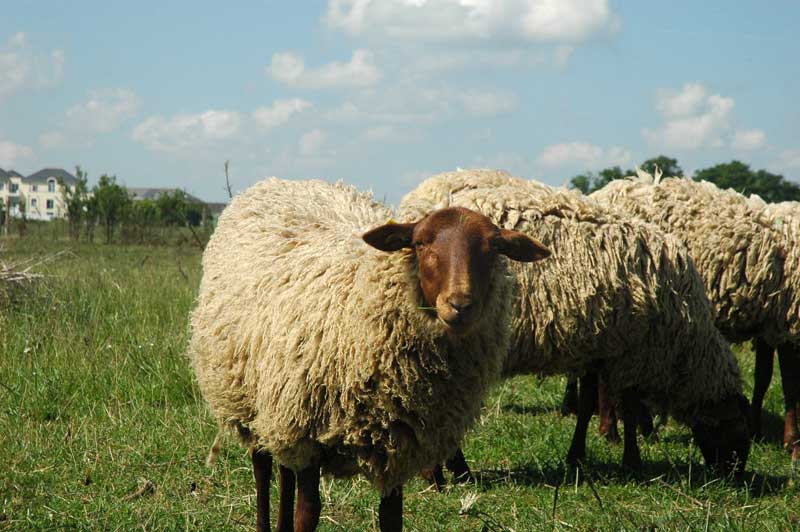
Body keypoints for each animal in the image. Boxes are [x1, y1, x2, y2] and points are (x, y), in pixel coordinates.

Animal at [188, 177, 552, 528]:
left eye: (494, 248)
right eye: (421, 243)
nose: (460, 305)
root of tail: (272, 183)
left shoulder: (398, 448)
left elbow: (391, 518)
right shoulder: (308, 435)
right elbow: (307, 513)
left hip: (277, 409)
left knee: (283, 471)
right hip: (246, 397)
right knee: (262, 469)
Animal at [400, 168, 752, 476]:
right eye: (736, 426)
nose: (734, 476)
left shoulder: (597, 347)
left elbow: (586, 405)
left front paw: (578, 456)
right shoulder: (631, 350)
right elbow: (627, 405)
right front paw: (632, 462)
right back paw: (456, 471)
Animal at [592, 171, 800, 462]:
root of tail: (608, 191)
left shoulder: (768, 323)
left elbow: (764, 377)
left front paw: (758, 429)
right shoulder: (786, 321)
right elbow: (791, 386)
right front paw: (793, 444)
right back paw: (612, 430)